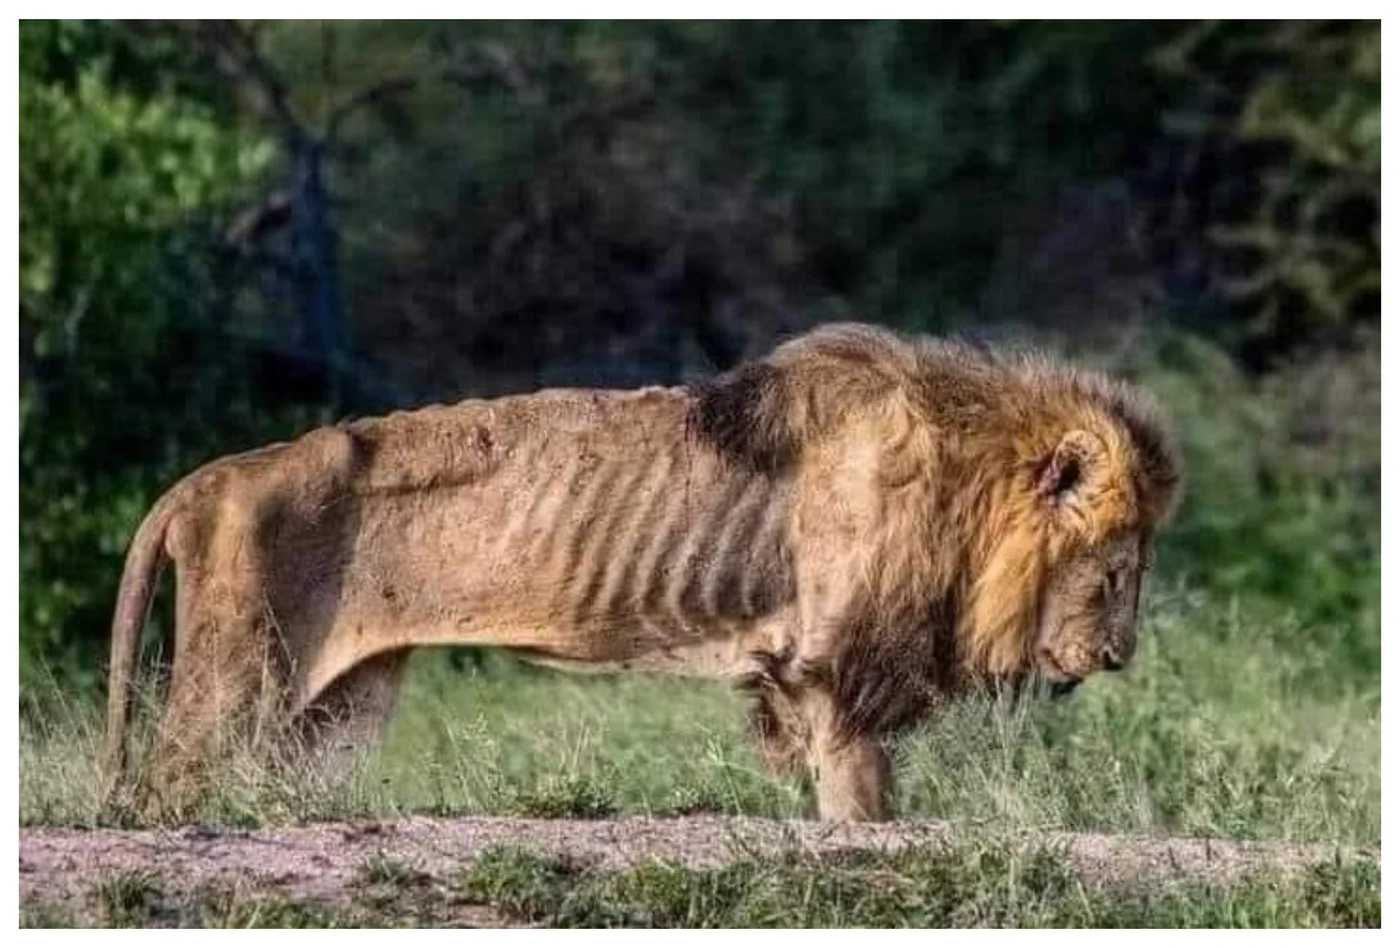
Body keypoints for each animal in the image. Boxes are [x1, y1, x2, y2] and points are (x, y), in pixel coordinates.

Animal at [103, 319, 1181, 823]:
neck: (965, 482)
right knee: (163, 792)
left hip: (333, 712)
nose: (1120, 657)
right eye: (1113, 572)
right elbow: (863, 805)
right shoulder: (839, 671)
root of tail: (211, 476)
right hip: (236, 680)